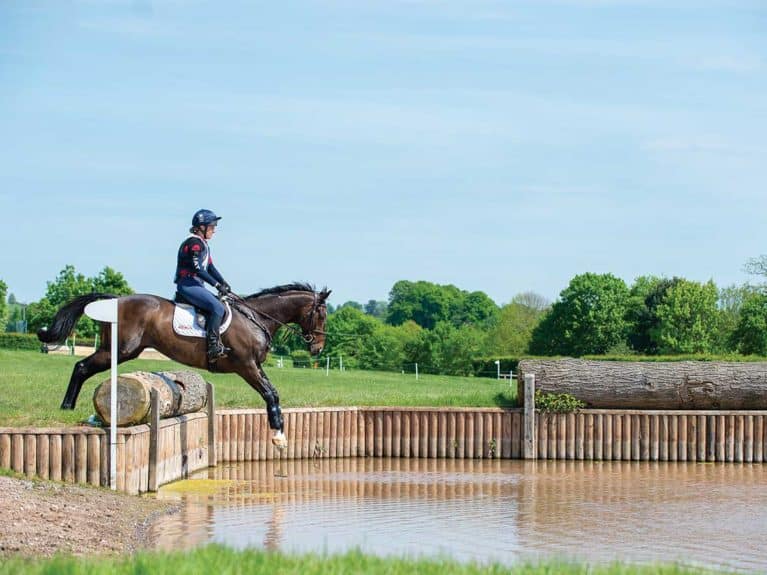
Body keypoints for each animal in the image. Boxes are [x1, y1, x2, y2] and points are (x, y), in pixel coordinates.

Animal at [39, 284, 332, 450]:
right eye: (321, 314)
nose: (317, 349)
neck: (255, 318)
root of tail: (115, 299)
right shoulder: (246, 366)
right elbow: (269, 393)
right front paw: (278, 436)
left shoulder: (255, 365)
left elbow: (274, 394)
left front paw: (280, 432)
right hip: (119, 350)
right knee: (81, 366)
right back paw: (66, 406)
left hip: (120, 350)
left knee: (83, 367)